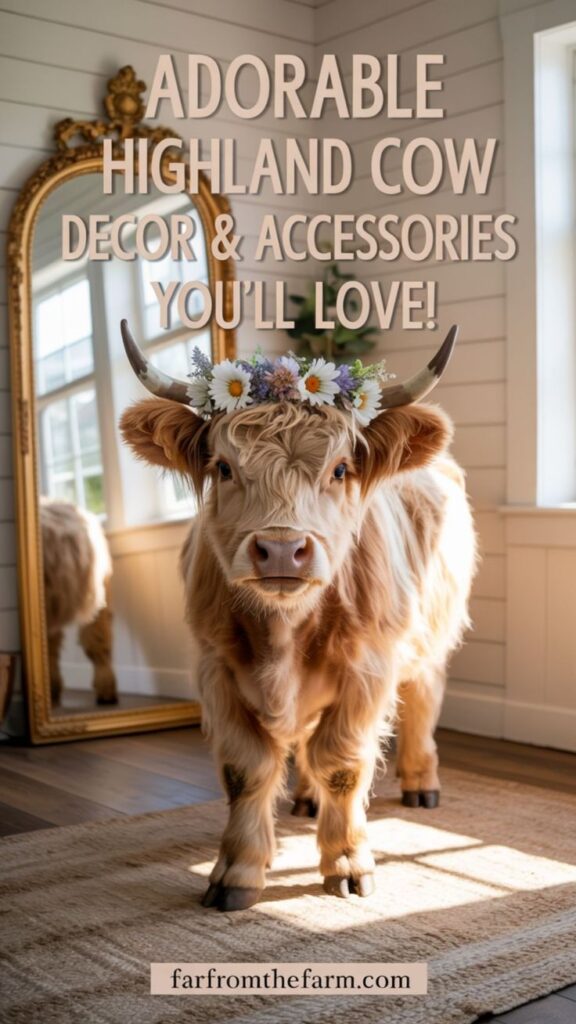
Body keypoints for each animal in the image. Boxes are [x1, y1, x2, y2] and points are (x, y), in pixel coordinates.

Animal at [119, 321, 477, 912]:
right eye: (224, 467)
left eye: (340, 469)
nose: (283, 550)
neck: (284, 632)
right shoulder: (215, 668)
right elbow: (246, 769)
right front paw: (237, 872)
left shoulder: (368, 668)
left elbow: (342, 764)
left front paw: (348, 863)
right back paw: (307, 800)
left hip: (430, 635)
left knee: (425, 698)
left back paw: (421, 783)